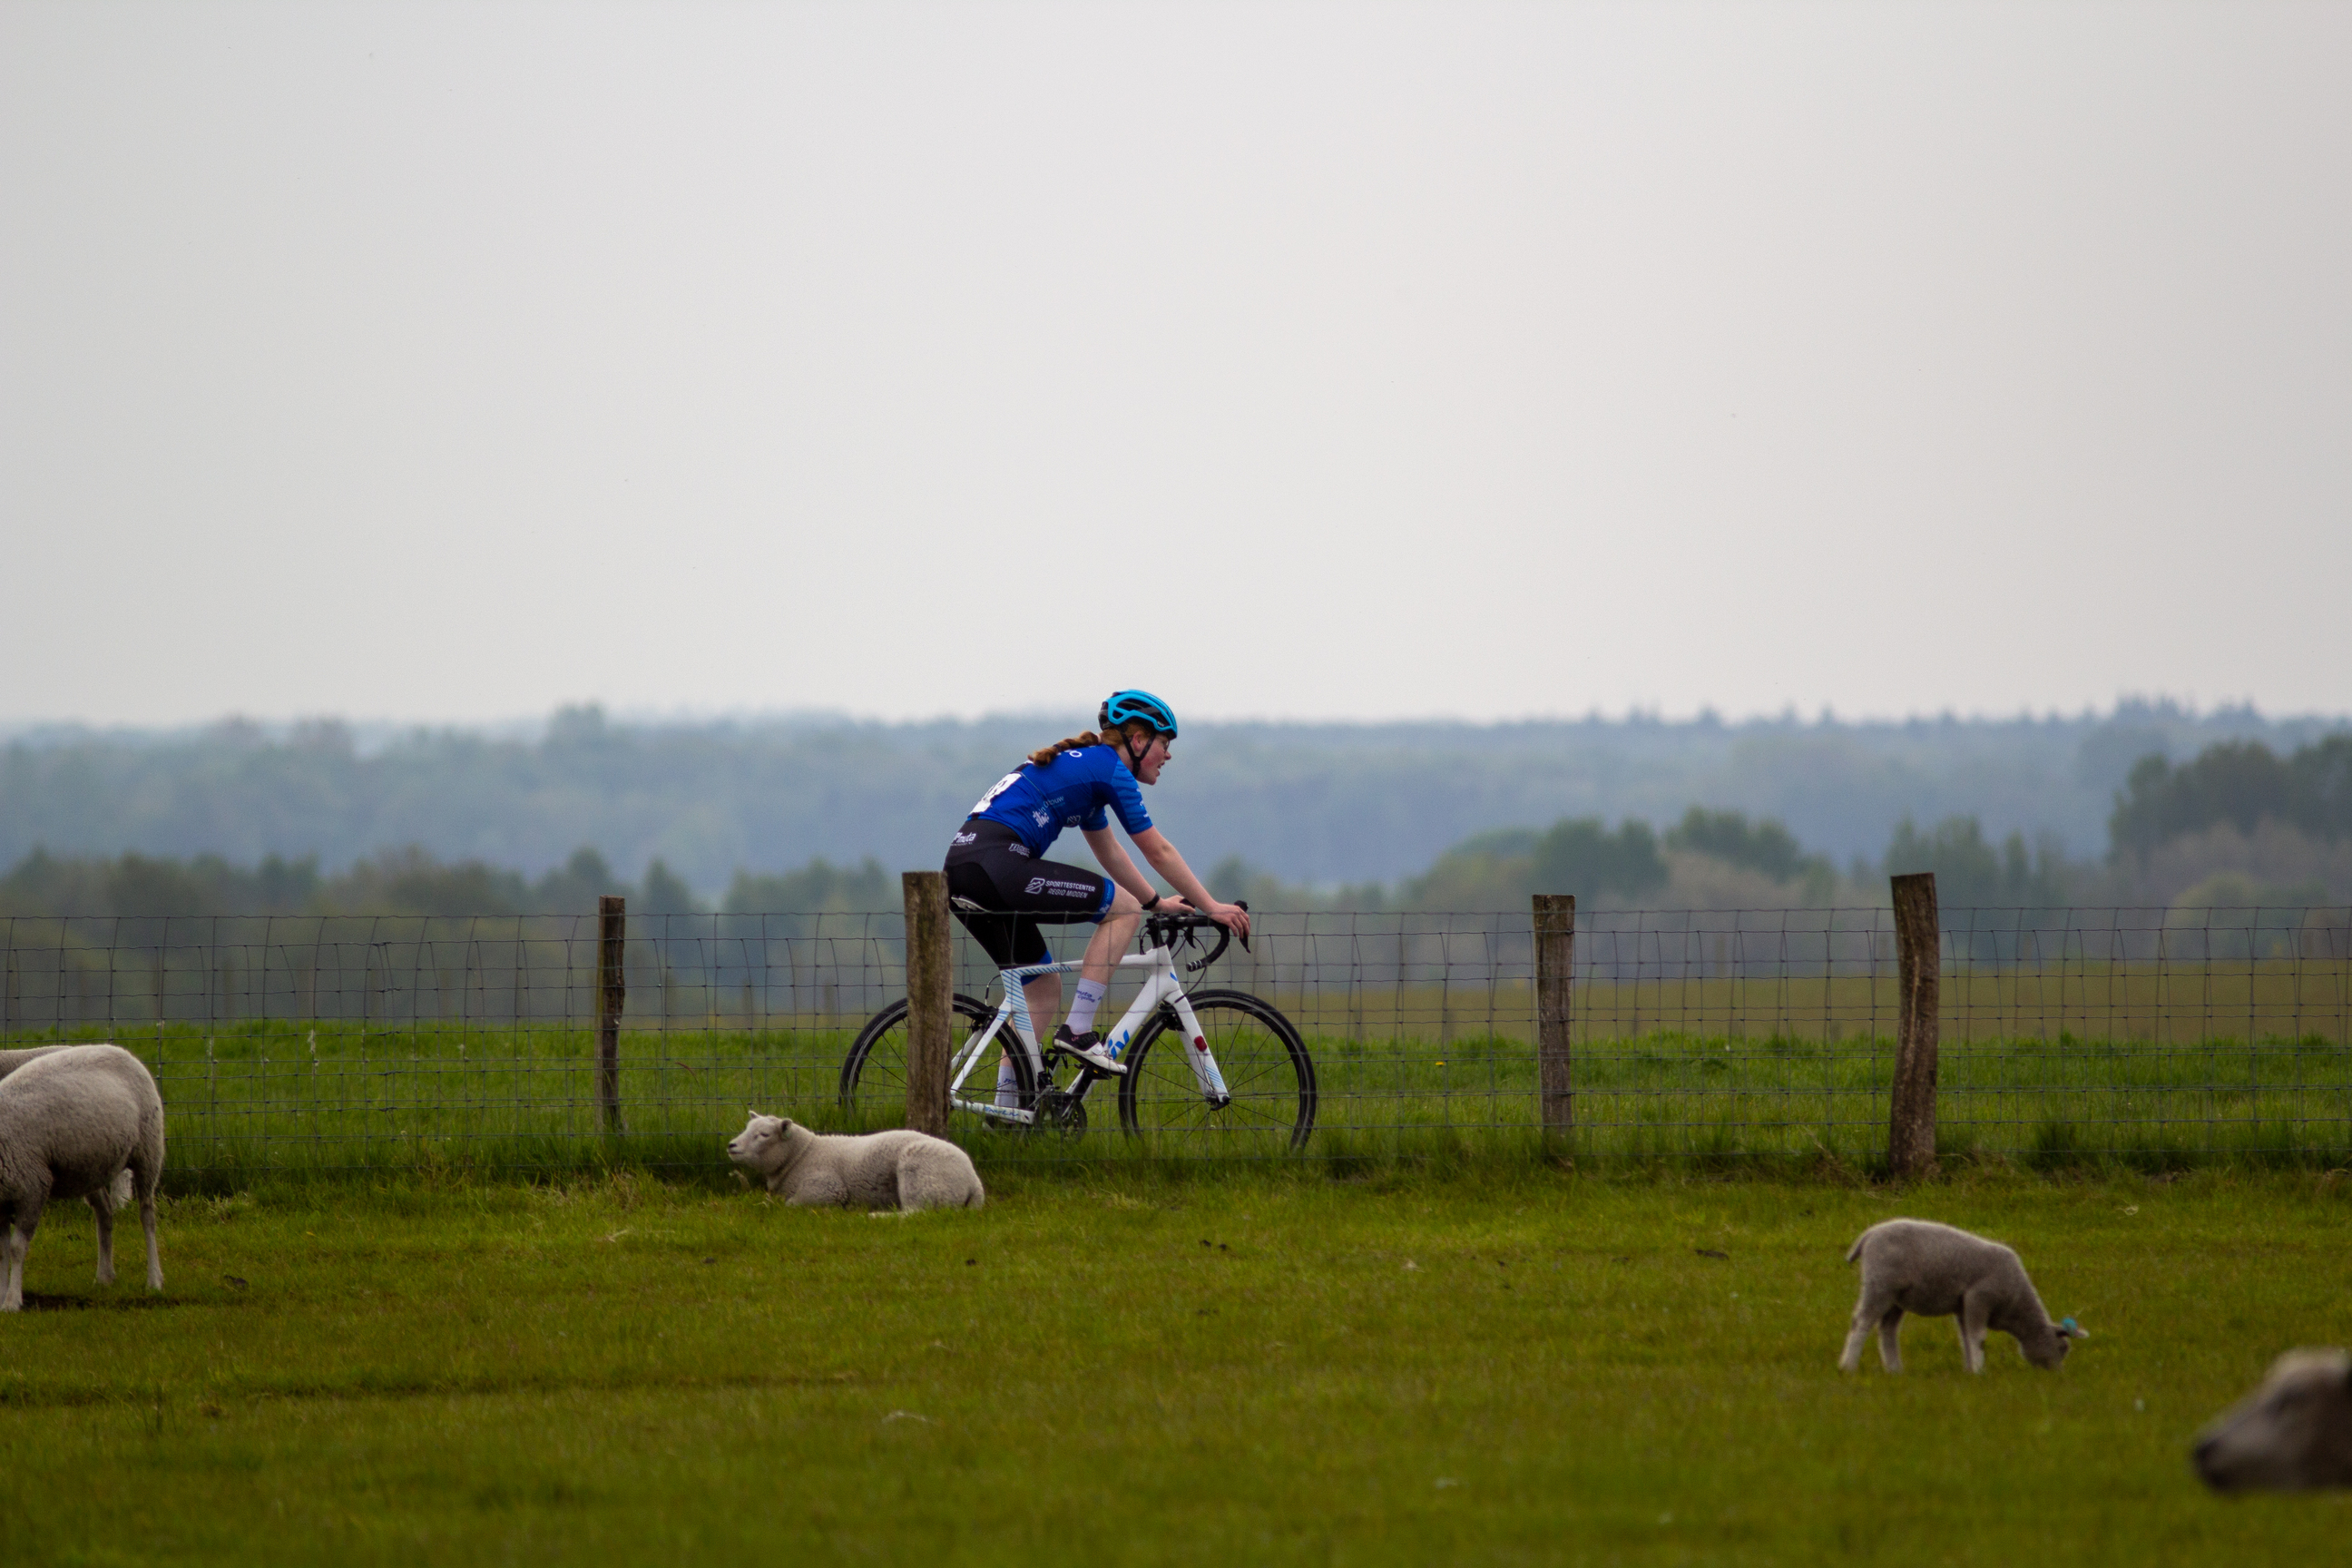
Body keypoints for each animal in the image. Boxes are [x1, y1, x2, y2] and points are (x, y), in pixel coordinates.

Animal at [0, 1048, 168, 1316]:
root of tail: (122, 1051)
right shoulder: (3, 1201)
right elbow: (2, 1252)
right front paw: (2, 1296)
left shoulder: (33, 1187)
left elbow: (16, 1248)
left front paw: (13, 1300)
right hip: (93, 1168)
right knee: (105, 1213)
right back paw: (105, 1277)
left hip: (148, 1150)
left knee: (147, 1216)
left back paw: (154, 1280)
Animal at [724, 1104, 983, 1212]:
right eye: (747, 1128)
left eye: (764, 1135)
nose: (731, 1146)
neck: (802, 1154)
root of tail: (974, 1182)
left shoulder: (827, 1188)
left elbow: (790, 1204)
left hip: (920, 1176)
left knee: (918, 1213)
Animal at [1834, 1222, 2079, 1382]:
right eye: (2062, 1348)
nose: (2058, 1375)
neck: (2016, 1304)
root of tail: (1868, 1235)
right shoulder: (1979, 1297)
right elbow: (1978, 1337)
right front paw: (1979, 1371)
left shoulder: (1964, 1306)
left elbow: (1966, 1337)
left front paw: (1969, 1370)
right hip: (1880, 1284)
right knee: (1862, 1322)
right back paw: (1848, 1366)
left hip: (1896, 1297)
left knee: (1887, 1329)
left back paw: (1895, 1370)